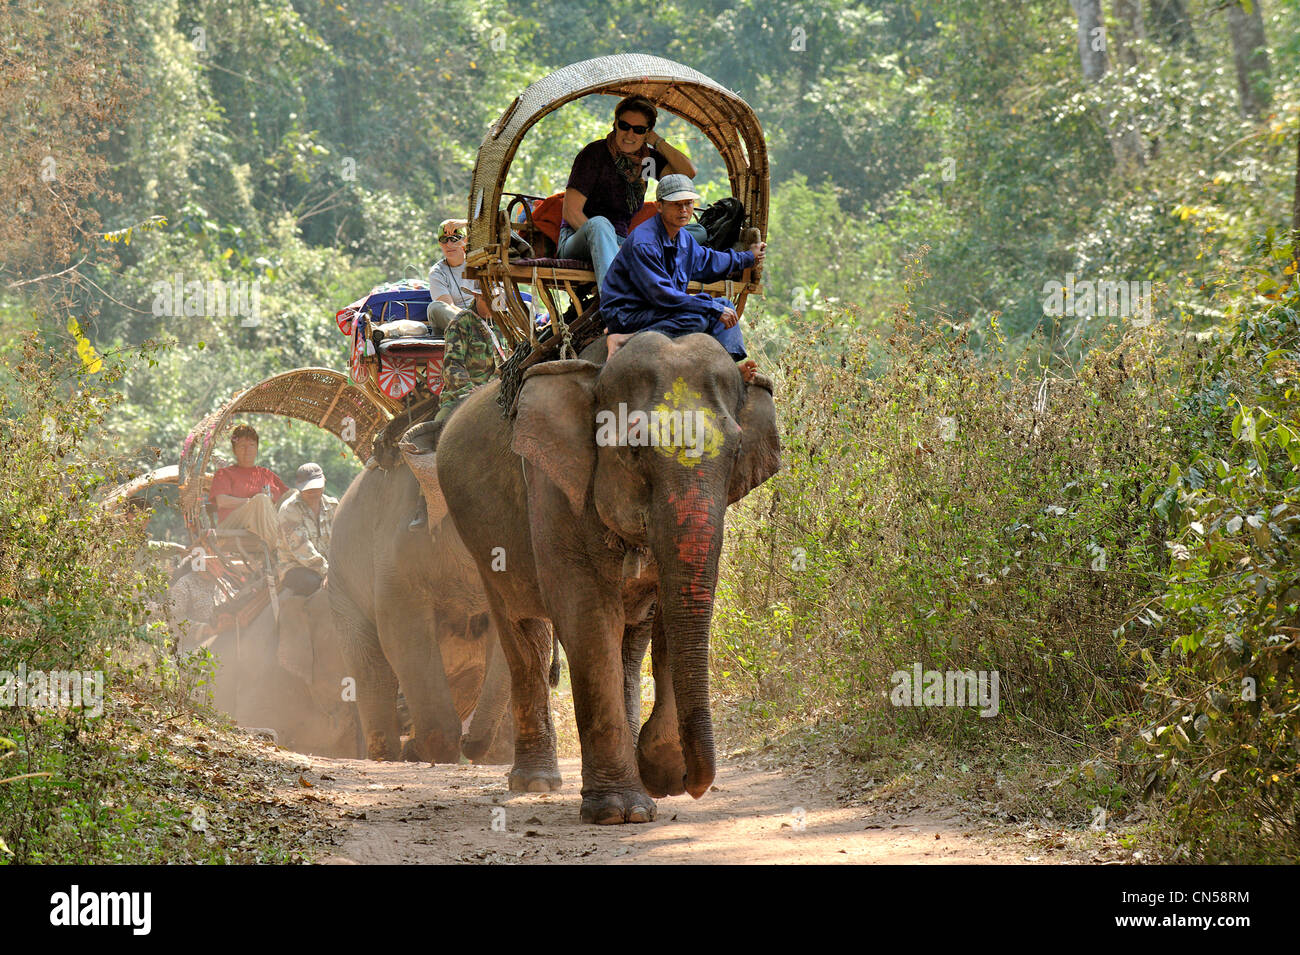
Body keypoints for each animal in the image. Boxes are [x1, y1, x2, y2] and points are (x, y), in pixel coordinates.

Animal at [436, 332, 780, 826]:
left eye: (735, 453)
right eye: (634, 448)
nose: (692, 784)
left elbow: (666, 615)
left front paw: (658, 772)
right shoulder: (554, 484)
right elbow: (587, 615)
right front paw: (621, 811)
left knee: (629, 643)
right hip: (480, 541)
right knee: (525, 638)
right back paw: (536, 782)